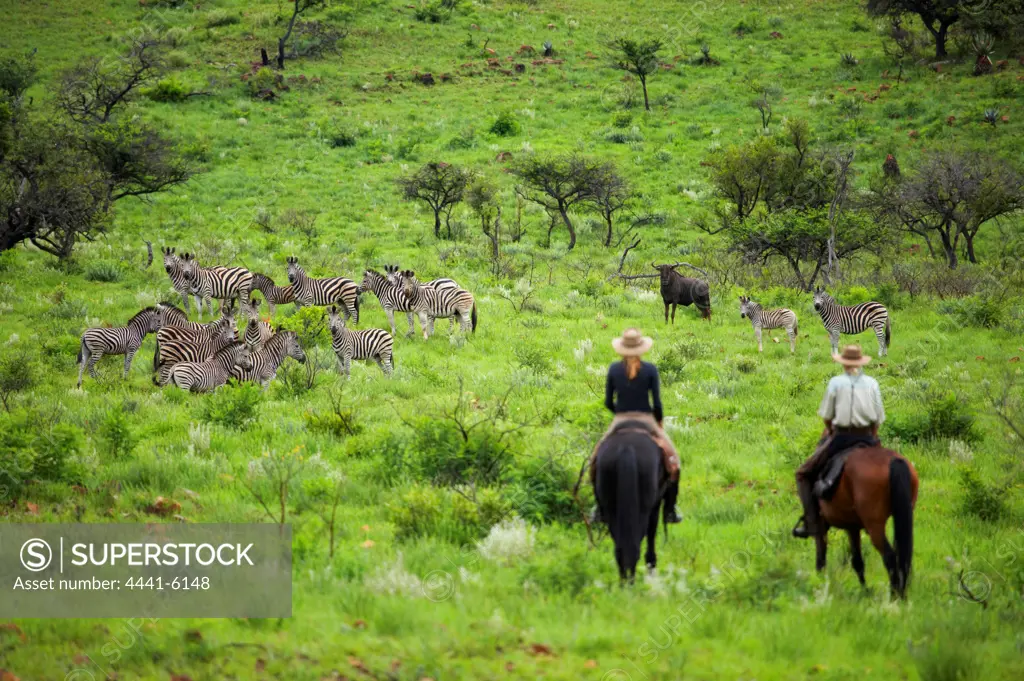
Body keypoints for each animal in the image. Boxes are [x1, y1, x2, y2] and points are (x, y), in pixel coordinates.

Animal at [815, 446, 921, 593]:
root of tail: (895, 461)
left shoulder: (832, 525)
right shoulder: (852, 527)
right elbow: (857, 560)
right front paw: (865, 590)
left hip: (874, 525)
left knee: (890, 557)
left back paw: (894, 594)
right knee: (902, 556)